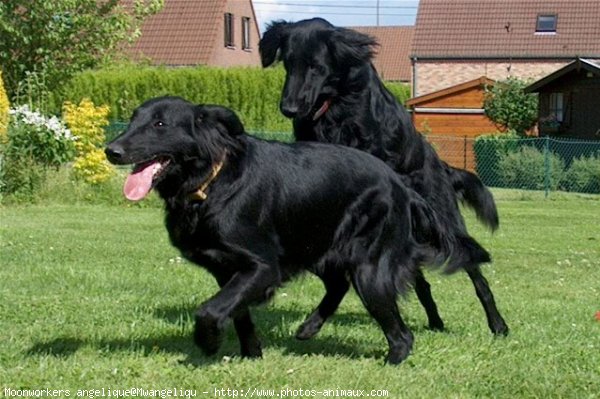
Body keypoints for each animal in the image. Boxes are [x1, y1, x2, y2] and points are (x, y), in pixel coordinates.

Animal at [105, 96, 482, 366]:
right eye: (134, 120)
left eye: (160, 124)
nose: (112, 150)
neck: (210, 183)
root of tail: (401, 185)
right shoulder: (228, 271)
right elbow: (237, 313)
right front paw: (252, 354)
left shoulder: (262, 266)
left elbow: (210, 310)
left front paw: (208, 343)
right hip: (318, 247)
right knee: (338, 285)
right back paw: (309, 328)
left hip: (370, 270)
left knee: (401, 335)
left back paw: (390, 360)